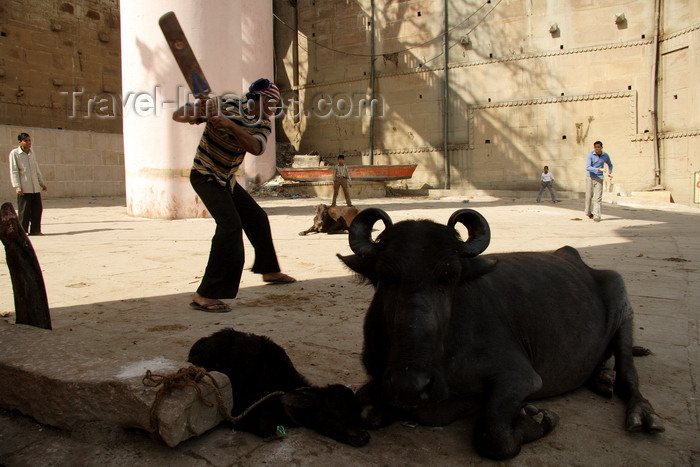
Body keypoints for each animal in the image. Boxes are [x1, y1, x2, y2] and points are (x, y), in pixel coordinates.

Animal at [336, 208, 664, 460]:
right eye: (386, 275)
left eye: (449, 275)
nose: (411, 386)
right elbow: (365, 406)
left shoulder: (520, 377)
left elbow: (493, 434)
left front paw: (537, 419)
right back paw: (601, 378)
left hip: (623, 305)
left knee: (628, 372)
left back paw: (641, 411)